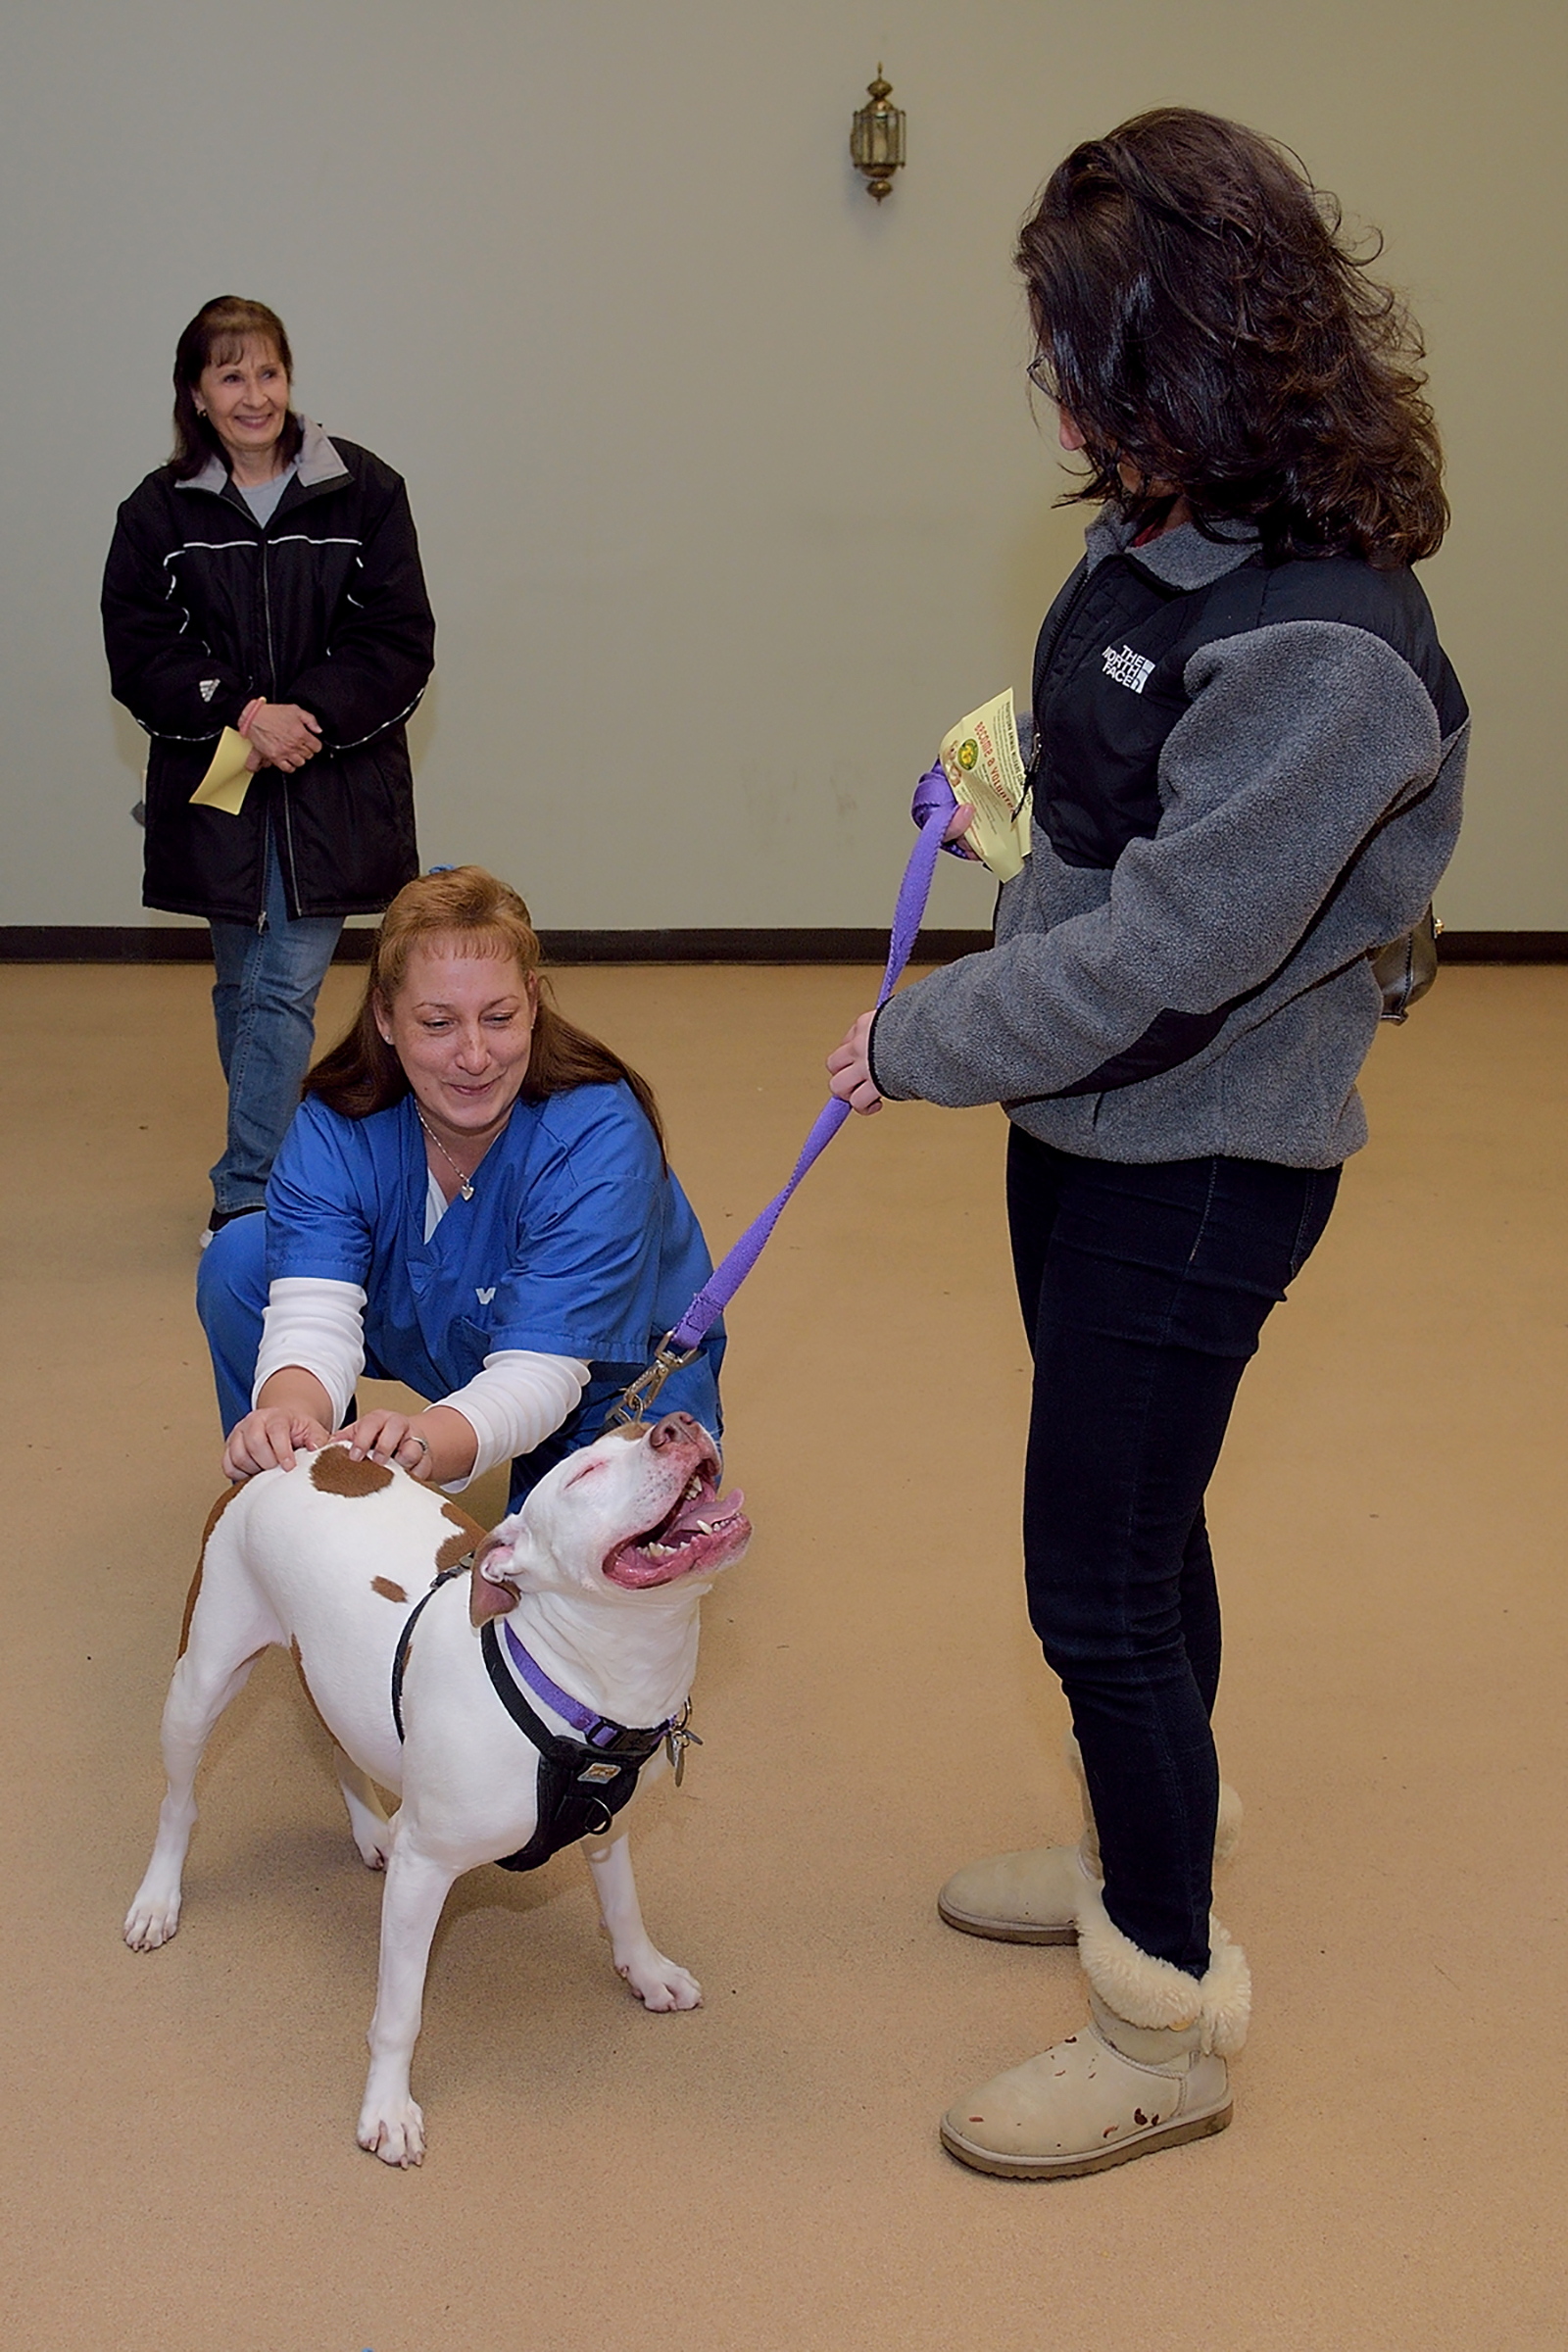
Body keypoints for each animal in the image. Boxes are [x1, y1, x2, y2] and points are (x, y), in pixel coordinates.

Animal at [125, 1411, 752, 2164]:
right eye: (585, 1473)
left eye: (641, 1427)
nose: (677, 1424)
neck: (567, 1685)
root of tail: (302, 1445)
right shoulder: (425, 1871)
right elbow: (400, 2011)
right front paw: (388, 2108)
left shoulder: (610, 1823)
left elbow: (624, 1906)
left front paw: (646, 1970)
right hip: (201, 1683)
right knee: (178, 1804)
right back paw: (158, 1899)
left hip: (328, 1677)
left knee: (341, 1748)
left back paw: (372, 1830)